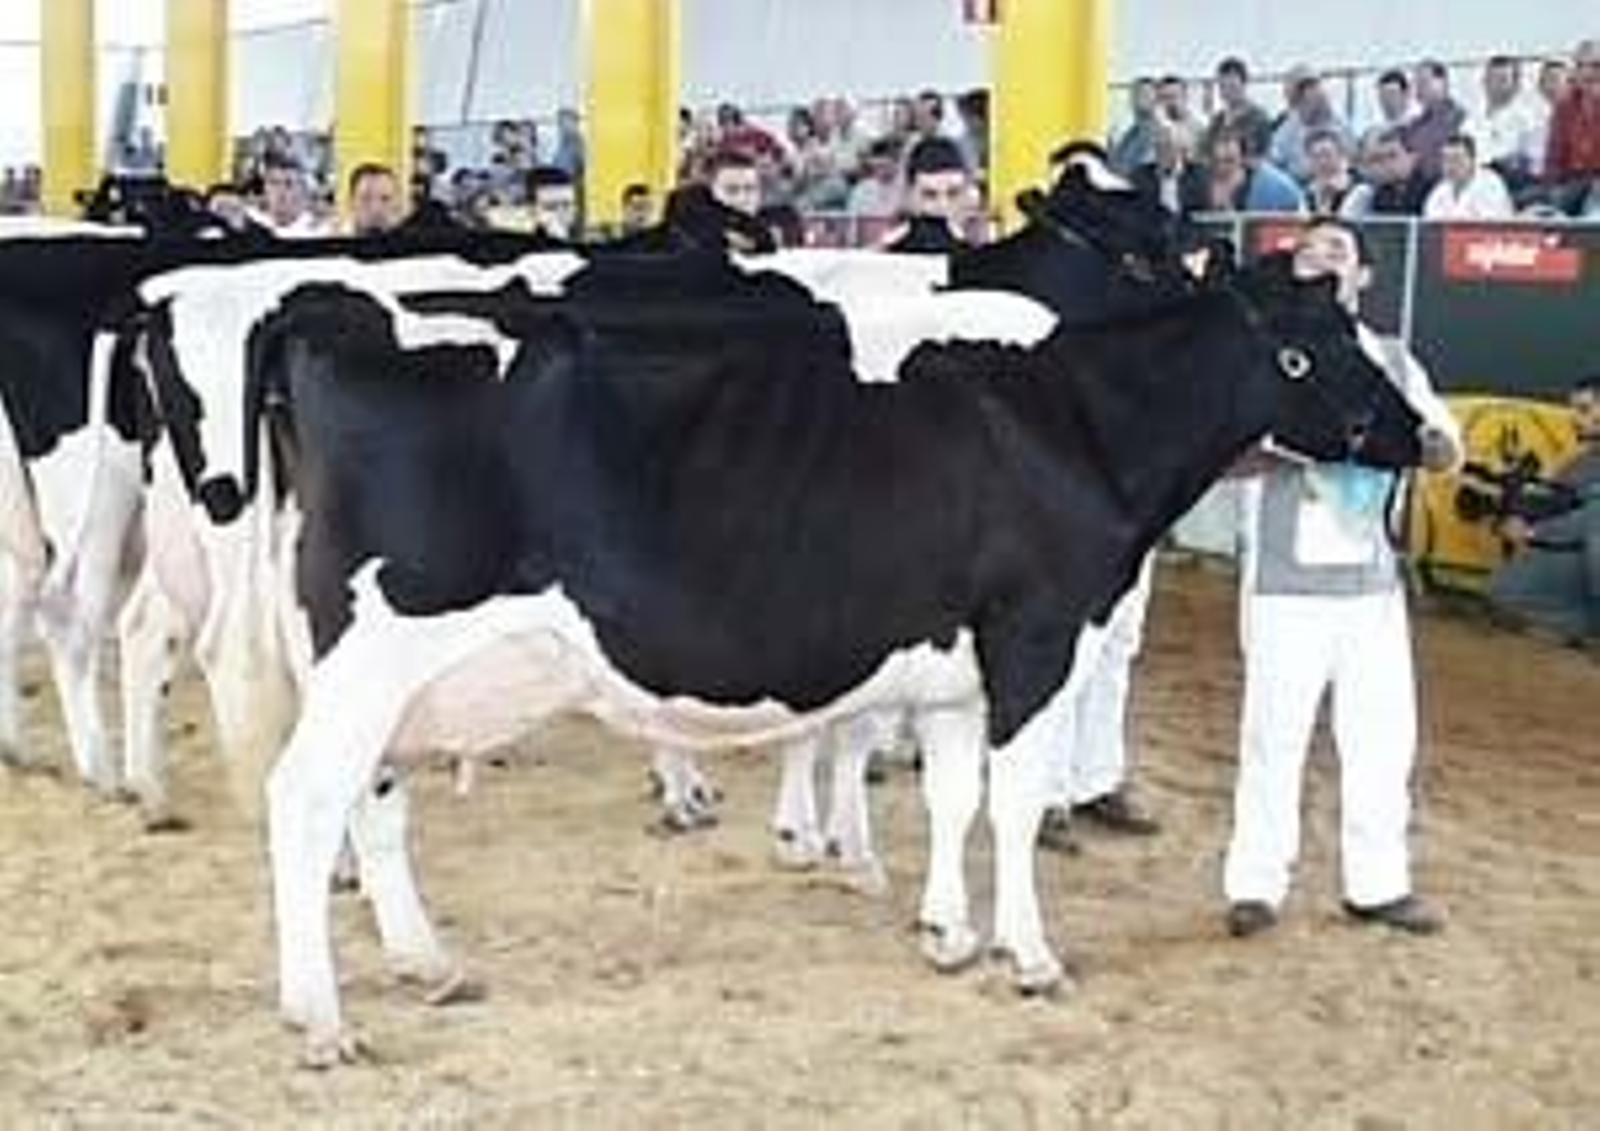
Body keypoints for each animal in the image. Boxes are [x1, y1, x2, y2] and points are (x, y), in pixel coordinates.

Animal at [117, 229, 1433, 1065]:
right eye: (1315, 347)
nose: (1424, 433)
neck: (1066, 418)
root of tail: (326, 311)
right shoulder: (1037, 631)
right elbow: (1012, 804)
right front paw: (1028, 953)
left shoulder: (955, 664)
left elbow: (952, 796)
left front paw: (944, 932)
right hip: (374, 648)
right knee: (304, 799)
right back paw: (320, 1017)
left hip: (386, 674)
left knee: (369, 800)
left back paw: (426, 962)